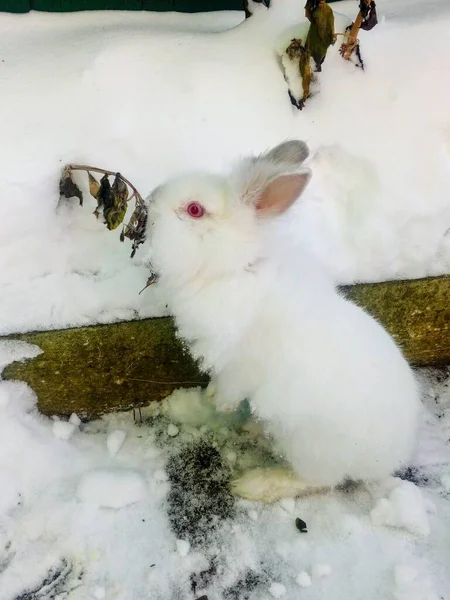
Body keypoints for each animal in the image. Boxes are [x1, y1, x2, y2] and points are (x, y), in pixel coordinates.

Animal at [145, 141, 422, 502]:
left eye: (194, 209)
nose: (150, 200)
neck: (236, 267)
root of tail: (394, 455)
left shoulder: (239, 365)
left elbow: (226, 394)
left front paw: (215, 405)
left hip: (310, 449)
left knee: (316, 481)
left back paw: (255, 483)